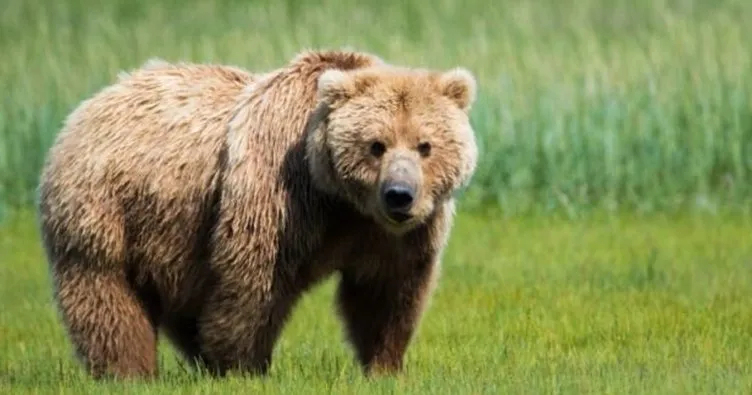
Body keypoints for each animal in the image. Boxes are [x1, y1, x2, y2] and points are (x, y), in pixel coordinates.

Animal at [36, 48, 476, 380]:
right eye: (376, 145)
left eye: (425, 145)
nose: (399, 196)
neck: (340, 199)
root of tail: (88, 105)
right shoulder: (280, 193)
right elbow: (255, 279)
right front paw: (243, 366)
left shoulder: (391, 235)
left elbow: (386, 291)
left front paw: (384, 365)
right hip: (104, 208)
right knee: (106, 297)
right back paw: (130, 372)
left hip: (174, 236)